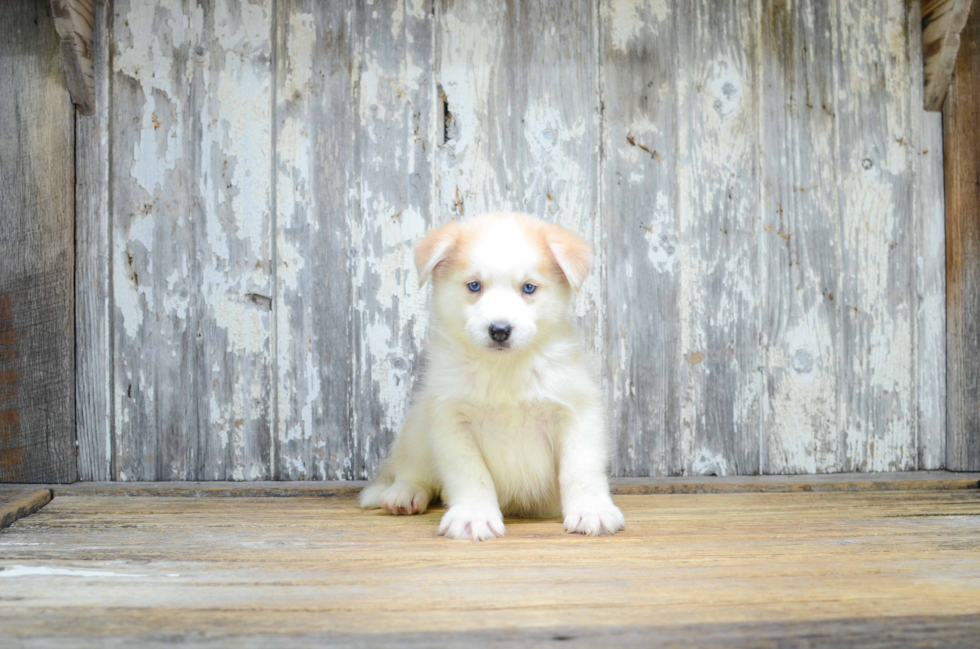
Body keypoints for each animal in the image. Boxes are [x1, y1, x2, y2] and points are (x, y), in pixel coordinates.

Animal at [356, 211, 624, 536]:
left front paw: (591, 510)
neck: (503, 370)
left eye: (529, 288)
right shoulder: (451, 420)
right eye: (474, 286)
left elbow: (581, 469)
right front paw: (474, 516)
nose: (499, 330)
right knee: (412, 469)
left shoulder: (577, 412)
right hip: (419, 422)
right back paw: (404, 494)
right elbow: (470, 475)